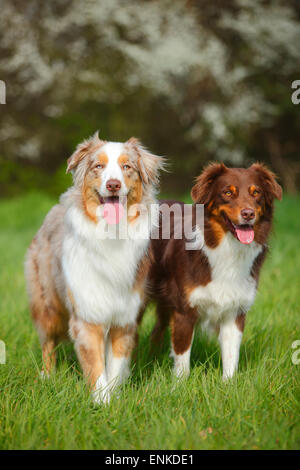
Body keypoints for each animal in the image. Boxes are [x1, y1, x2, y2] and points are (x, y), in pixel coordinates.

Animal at [25, 132, 164, 404]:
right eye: (98, 166)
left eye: (127, 167)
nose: (113, 185)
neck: (111, 234)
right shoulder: (87, 314)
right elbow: (96, 367)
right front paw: (102, 402)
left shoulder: (124, 319)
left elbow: (115, 367)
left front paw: (114, 398)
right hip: (47, 303)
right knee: (48, 341)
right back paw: (47, 375)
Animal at [149, 163, 282, 380]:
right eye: (227, 192)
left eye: (256, 193)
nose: (248, 214)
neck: (227, 248)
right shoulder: (184, 309)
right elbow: (182, 355)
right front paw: (180, 384)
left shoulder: (235, 310)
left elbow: (231, 355)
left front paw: (229, 383)